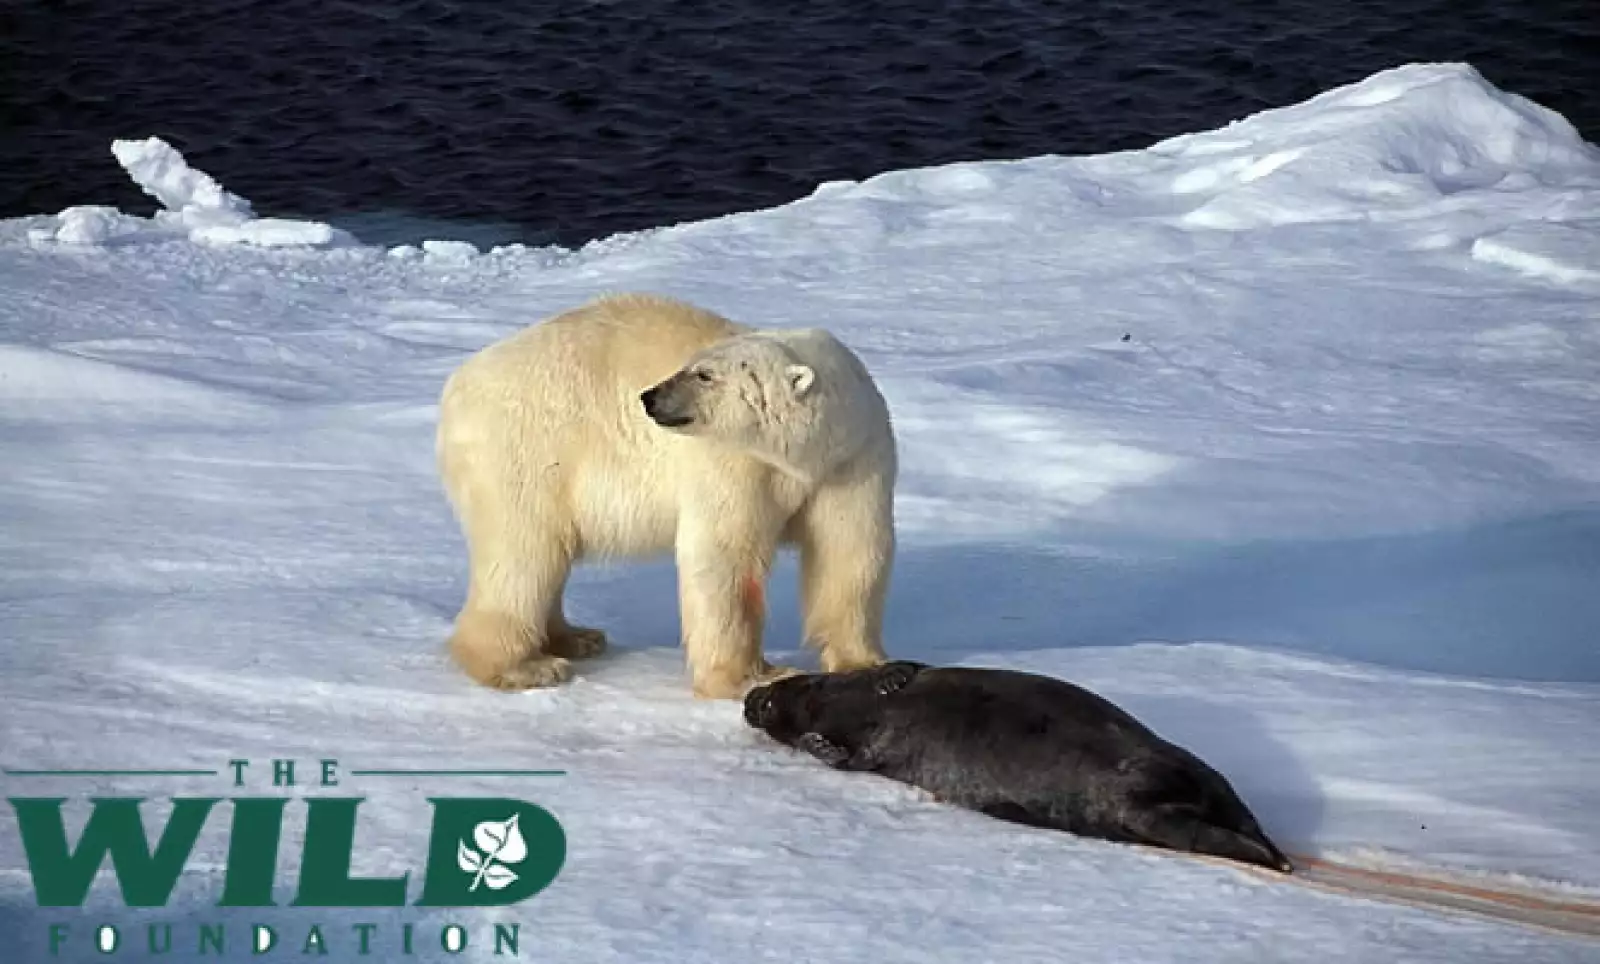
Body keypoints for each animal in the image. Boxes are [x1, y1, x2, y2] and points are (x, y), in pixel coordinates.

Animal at [434, 292, 898, 699]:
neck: (805, 455)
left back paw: (575, 638)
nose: (649, 397)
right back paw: (524, 666)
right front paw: (750, 677)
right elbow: (726, 557)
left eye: (704, 374)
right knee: (524, 554)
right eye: (691, 366)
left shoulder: (853, 461)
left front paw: (865, 663)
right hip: (528, 452)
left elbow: (850, 551)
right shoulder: (734, 462)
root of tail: (456, 385)